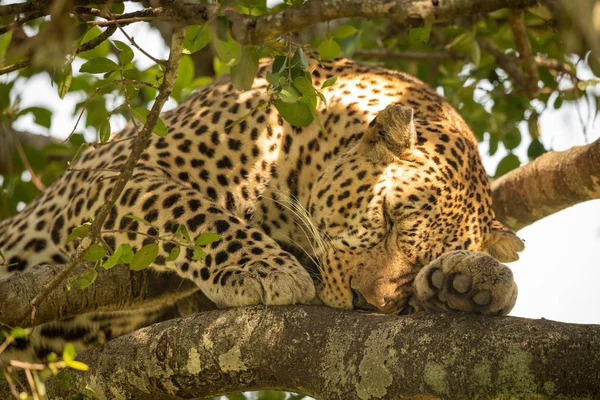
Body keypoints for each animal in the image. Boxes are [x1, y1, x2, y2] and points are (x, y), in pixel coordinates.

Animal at [0, 57, 524, 360]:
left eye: (420, 262)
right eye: (390, 215)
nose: (368, 303)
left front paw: (467, 283)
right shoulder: (110, 180)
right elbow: (191, 211)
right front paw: (266, 269)